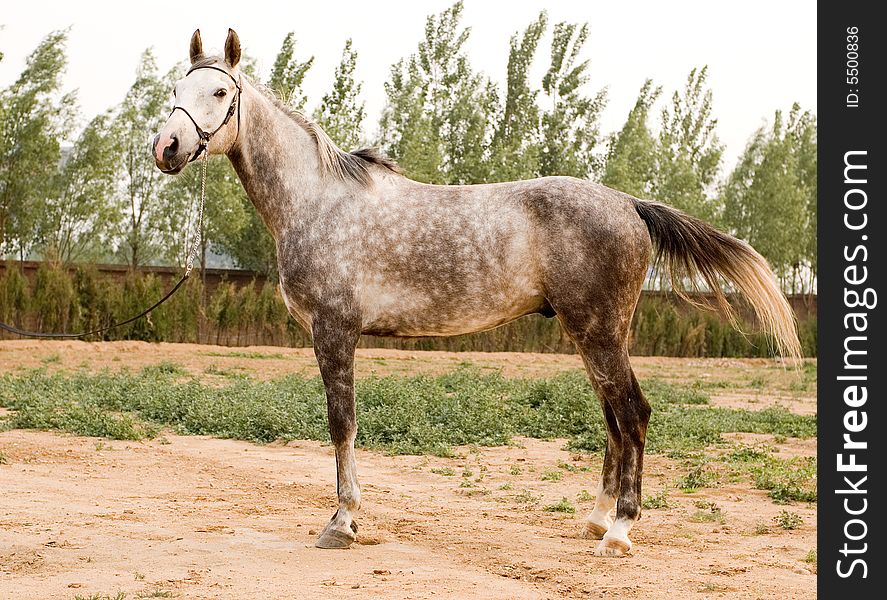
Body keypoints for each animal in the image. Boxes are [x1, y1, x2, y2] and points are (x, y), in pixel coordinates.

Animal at [149, 29, 800, 556]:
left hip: (599, 333)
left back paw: (618, 532)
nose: (168, 148)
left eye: (220, 92)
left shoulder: (333, 331)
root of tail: (629, 205)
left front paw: (342, 523)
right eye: (179, 86)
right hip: (595, 336)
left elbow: (341, 424)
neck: (319, 199)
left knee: (632, 414)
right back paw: (596, 520)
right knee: (614, 420)